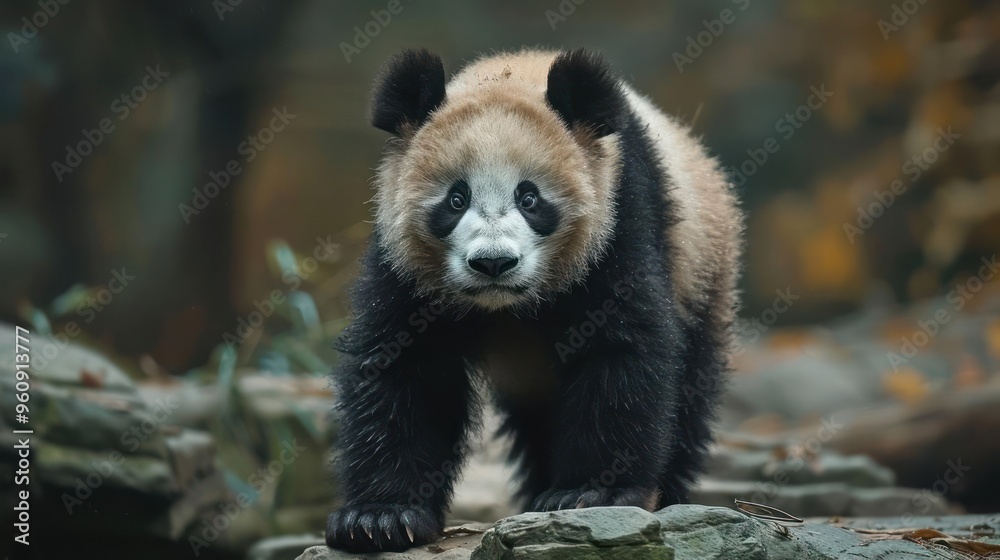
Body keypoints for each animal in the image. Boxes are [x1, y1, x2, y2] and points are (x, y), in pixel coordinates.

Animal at [325, 48, 743, 553]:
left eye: (530, 198)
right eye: (456, 199)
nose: (493, 263)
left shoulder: (619, 218)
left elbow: (621, 347)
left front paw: (590, 493)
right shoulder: (402, 261)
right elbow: (404, 368)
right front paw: (379, 518)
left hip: (702, 273)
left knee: (691, 392)